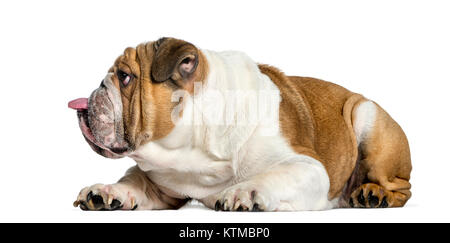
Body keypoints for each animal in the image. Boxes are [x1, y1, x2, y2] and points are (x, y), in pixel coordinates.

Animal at [69, 36, 412, 211]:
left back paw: (373, 195)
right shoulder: (161, 185)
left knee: (401, 187)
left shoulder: (309, 168)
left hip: (366, 116)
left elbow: (274, 175)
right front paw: (107, 190)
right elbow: (134, 179)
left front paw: (244, 192)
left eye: (124, 77)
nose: (97, 89)